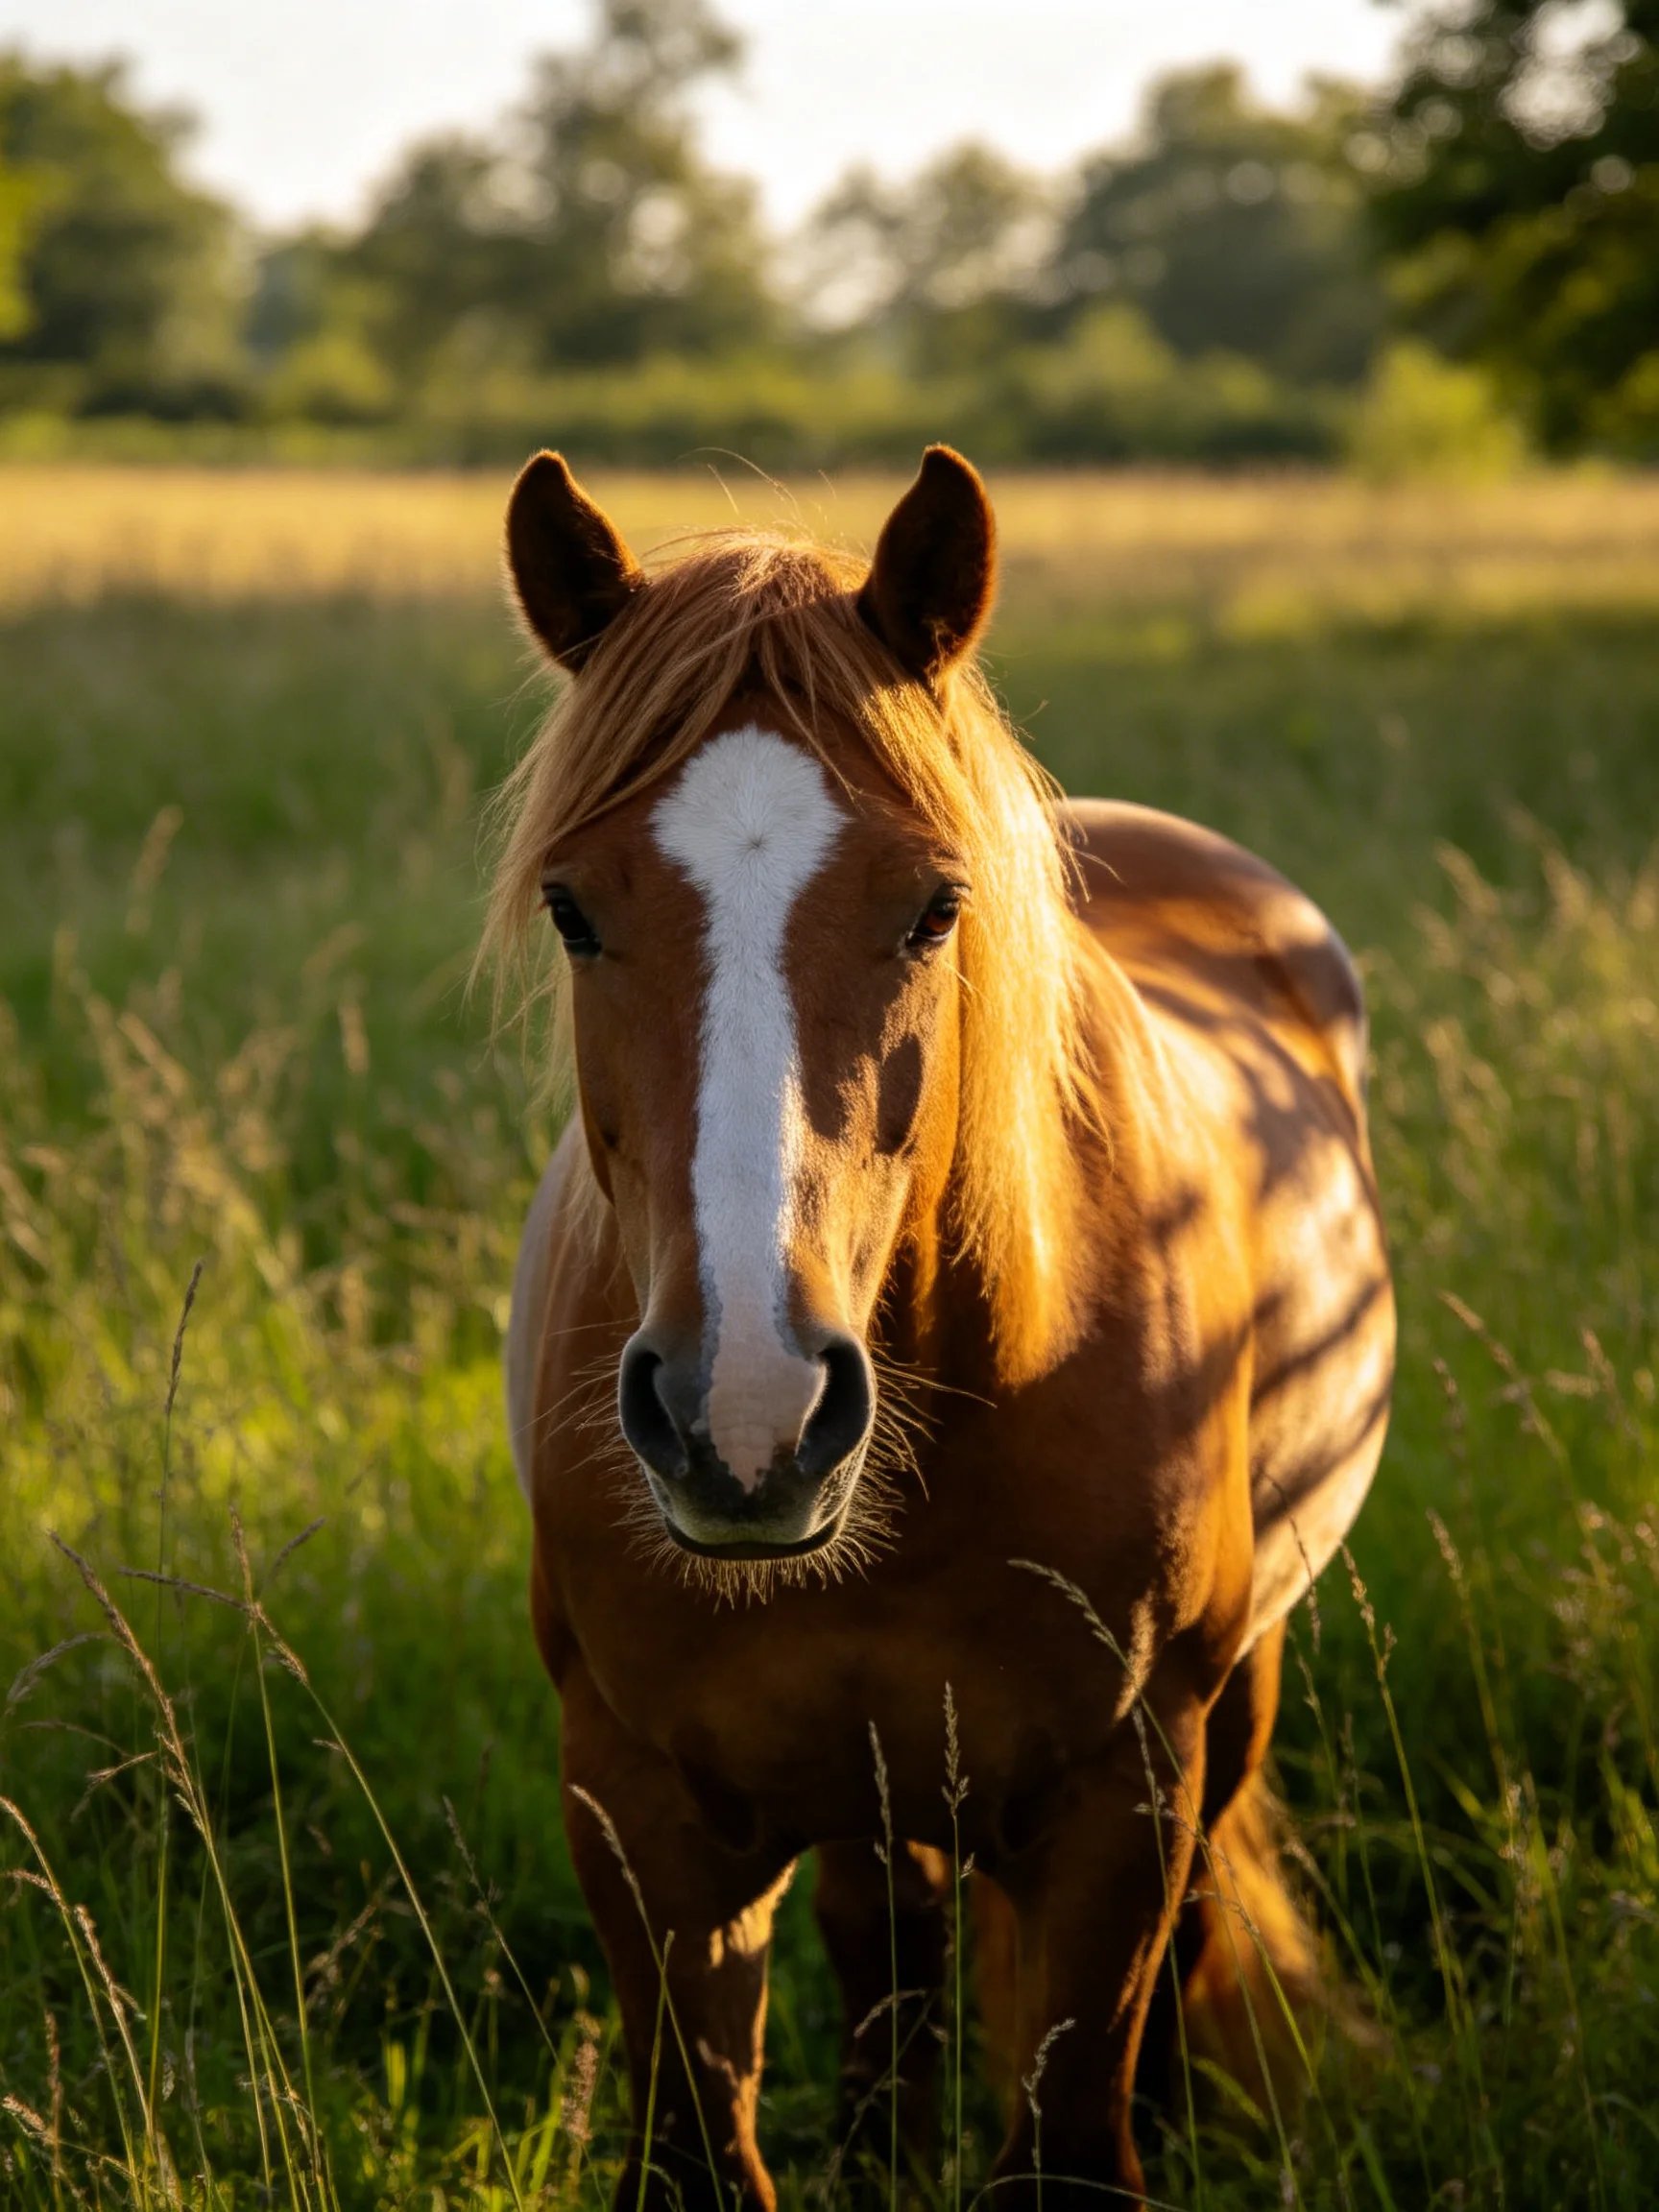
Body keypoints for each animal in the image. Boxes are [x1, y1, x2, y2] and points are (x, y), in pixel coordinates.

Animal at [491, 445, 1395, 2209]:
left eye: (931, 906)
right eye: (571, 907)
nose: (746, 1417)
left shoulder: (1120, 1799)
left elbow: (1075, 2119)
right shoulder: (634, 1810)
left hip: (1239, 1686)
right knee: (884, 1924)